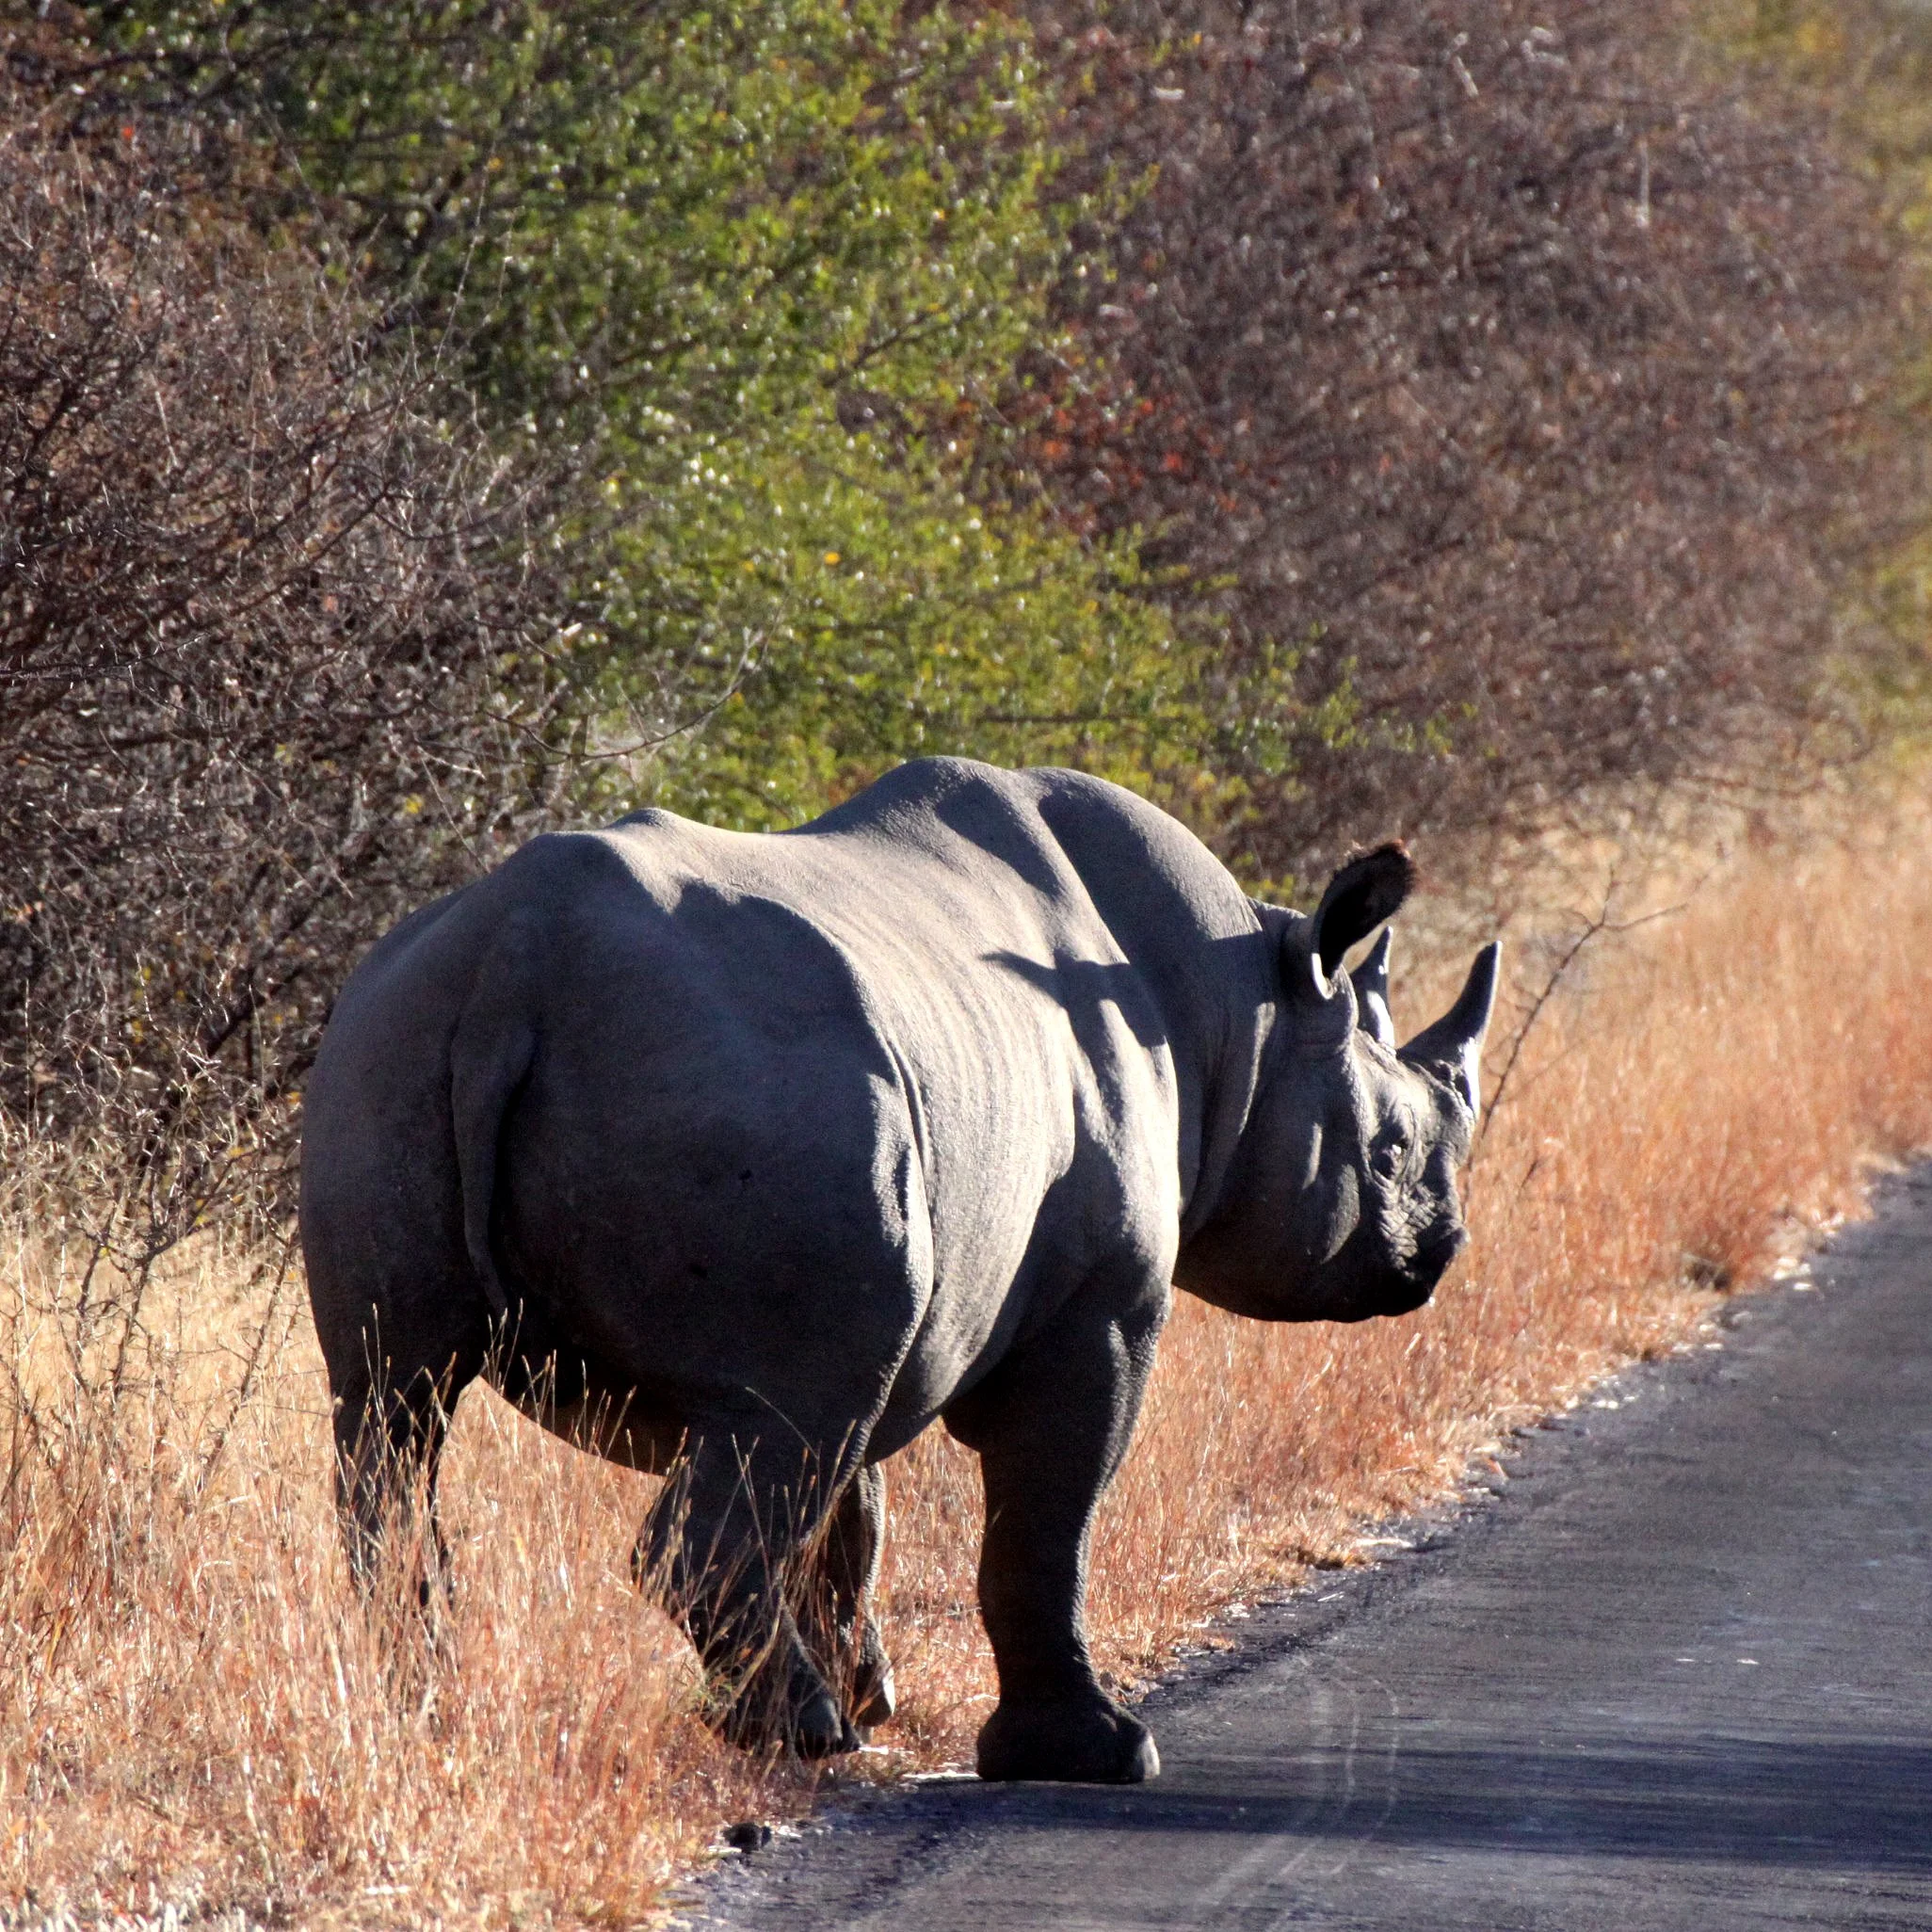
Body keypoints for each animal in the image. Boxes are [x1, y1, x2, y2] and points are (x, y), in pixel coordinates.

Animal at [299, 757, 1498, 1784]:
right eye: (1390, 1149)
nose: (1437, 1256)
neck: (1243, 1015)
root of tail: (515, 958)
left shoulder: (889, 1296)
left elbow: (853, 1508)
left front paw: (874, 1691)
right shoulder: (1100, 1310)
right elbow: (1043, 1524)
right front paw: (1091, 1754)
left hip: (384, 1045)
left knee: (393, 1416)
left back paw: (429, 1726)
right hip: (765, 1093)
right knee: (756, 1437)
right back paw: (795, 1734)